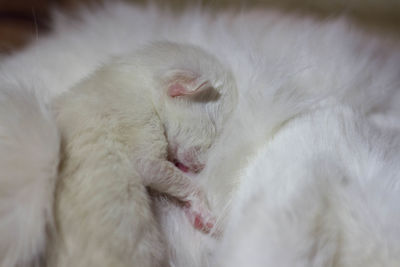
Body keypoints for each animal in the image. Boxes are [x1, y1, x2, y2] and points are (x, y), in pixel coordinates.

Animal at [48, 42, 238, 267]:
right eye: (215, 126)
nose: (201, 167)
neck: (140, 82)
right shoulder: (140, 118)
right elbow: (151, 167)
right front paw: (207, 217)